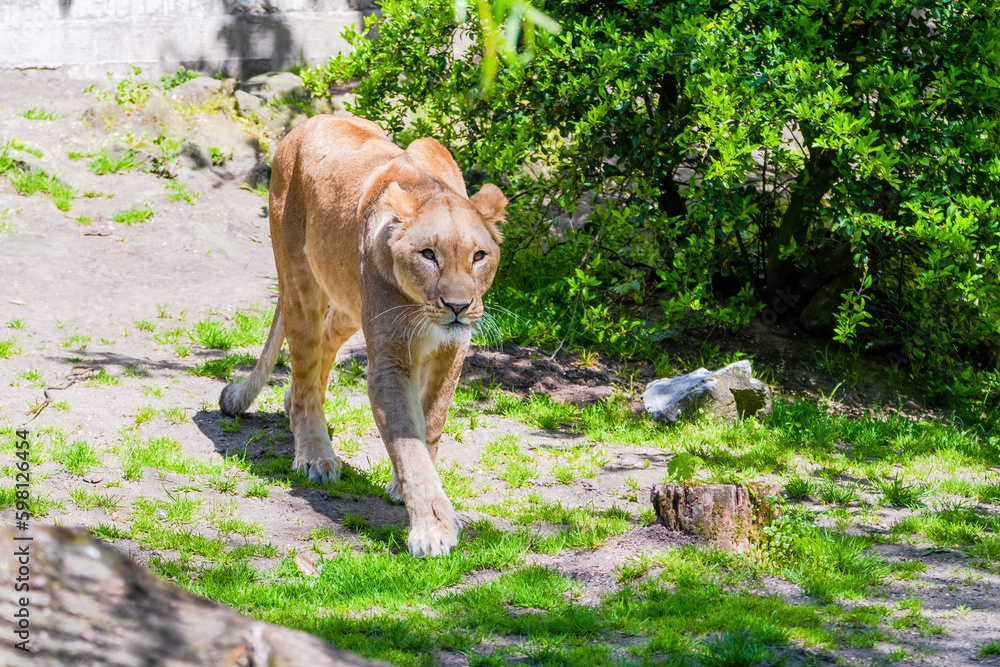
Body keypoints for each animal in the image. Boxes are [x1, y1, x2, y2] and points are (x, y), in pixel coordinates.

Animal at [219, 115, 506, 557]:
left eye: (479, 256)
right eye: (428, 254)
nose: (458, 306)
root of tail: (305, 124)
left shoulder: (452, 349)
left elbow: (432, 420)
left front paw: (404, 490)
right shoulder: (389, 360)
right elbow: (408, 444)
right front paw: (432, 528)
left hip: (348, 304)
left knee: (322, 346)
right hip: (300, 284)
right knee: (304, 371)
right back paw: (315, 456)